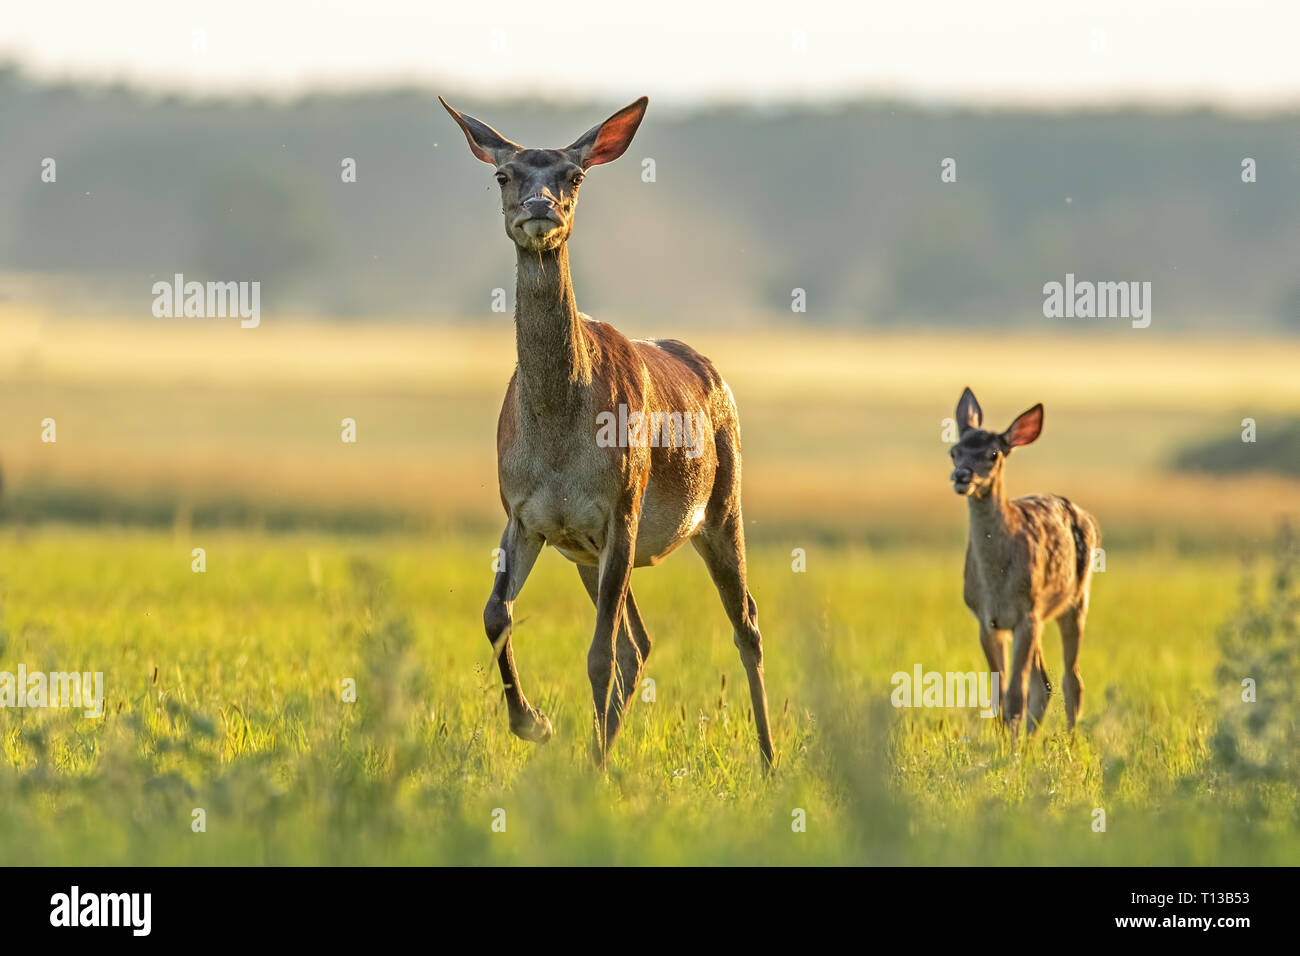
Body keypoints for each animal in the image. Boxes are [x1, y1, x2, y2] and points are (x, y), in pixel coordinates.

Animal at [441, 97, 774, 770]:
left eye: (574, 176)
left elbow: (595, 655)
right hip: (588, 556)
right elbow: (495, 614)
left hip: (721, 504)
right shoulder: (527, 515)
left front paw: (582, 763)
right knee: (639, 643)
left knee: (745, 623)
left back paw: (769, 759)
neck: (558, 438)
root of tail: (714, 374)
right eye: (503, 174)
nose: (540, 206)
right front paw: (535, 725)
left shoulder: (621, 504)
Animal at [951, 387, 1102, 733]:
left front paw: (1012, 746)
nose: (962, 475)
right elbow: (999, 696)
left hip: (1074, 602)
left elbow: (1015, 695)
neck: (996, 581)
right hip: (1040, 617)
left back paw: (1069, 742)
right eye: (954, 451)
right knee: (1043, 685)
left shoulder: (1026, 614)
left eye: (994, 454)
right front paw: (1004, 743)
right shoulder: (986, 619)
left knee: (1072, 680)